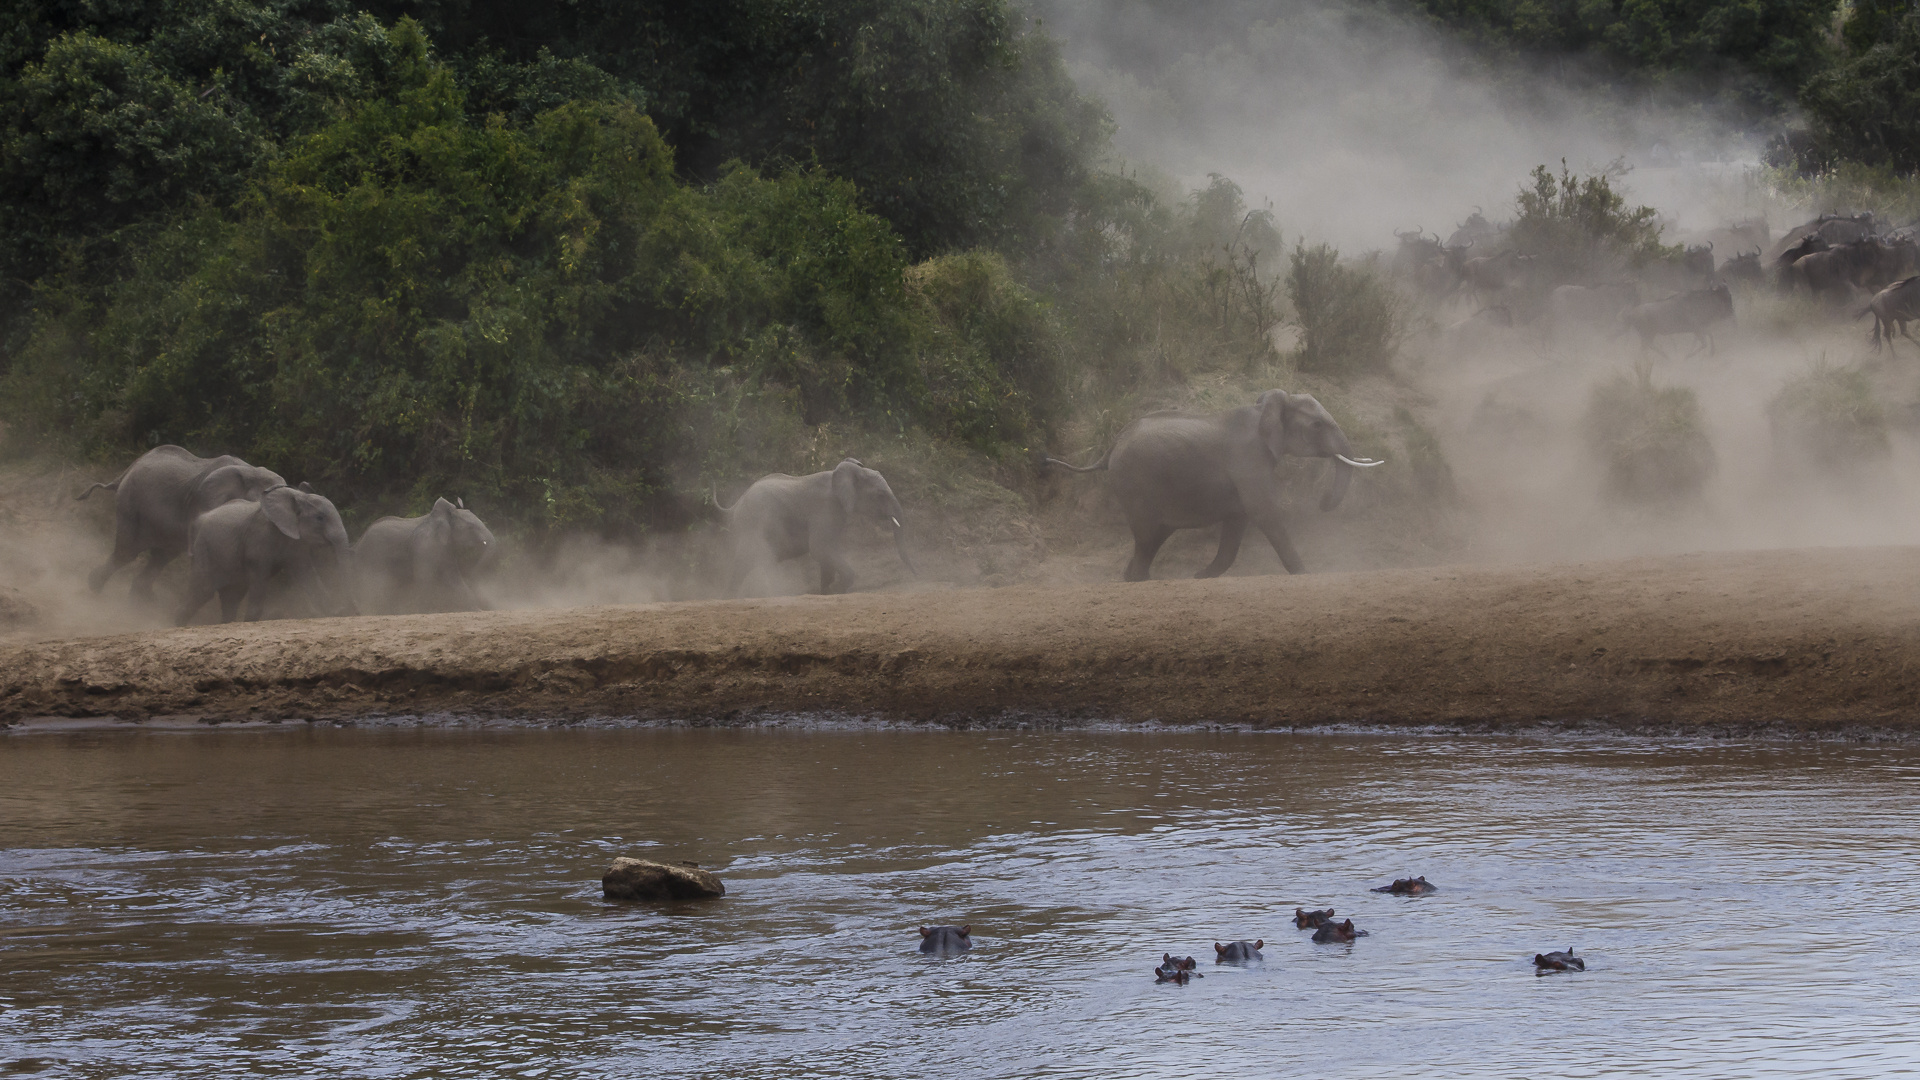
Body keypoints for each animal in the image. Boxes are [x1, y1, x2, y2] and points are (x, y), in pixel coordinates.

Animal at [355, 495, 495, 611]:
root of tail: (359, 541)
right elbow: (429, 578)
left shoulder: (445, 548)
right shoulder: (425, 547)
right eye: (471, 527)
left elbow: (453, 577)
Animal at [718, 449, 917, 591]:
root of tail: (736, 504)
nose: (917, 574)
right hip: (753, 526)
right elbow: (820, 547)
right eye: (880, 495)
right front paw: (836, 589)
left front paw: (827, 590)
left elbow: (828, 550)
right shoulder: (825, 509)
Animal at [1052, 390, 1382, 580]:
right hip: (1135, 485)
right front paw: (1304, 574)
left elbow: (1238, 521)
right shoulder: (1249, 459)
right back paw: (1144, 580)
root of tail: (1111, 447)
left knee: (1154, 537)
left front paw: (1201, 577)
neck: (1265, 408)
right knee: (1146, 538)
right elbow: (1263, 513)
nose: (1323, 503)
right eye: (1317, 425)